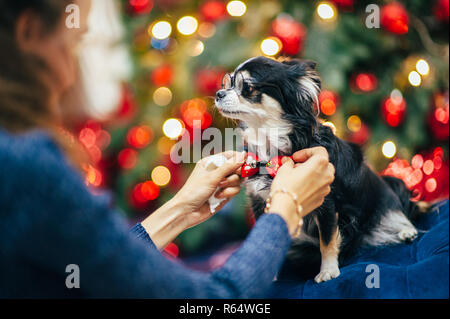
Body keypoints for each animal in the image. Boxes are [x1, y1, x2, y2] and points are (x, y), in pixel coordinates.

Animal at [215, 57, 428, 282]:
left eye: (247, 87)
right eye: (226, 83)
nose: (219, 93)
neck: (271, 146)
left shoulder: (326, 203)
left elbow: (327, 239)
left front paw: (328, 270)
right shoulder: (259, 201)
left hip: (384, 201)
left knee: (400, 214)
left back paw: (406, 231)